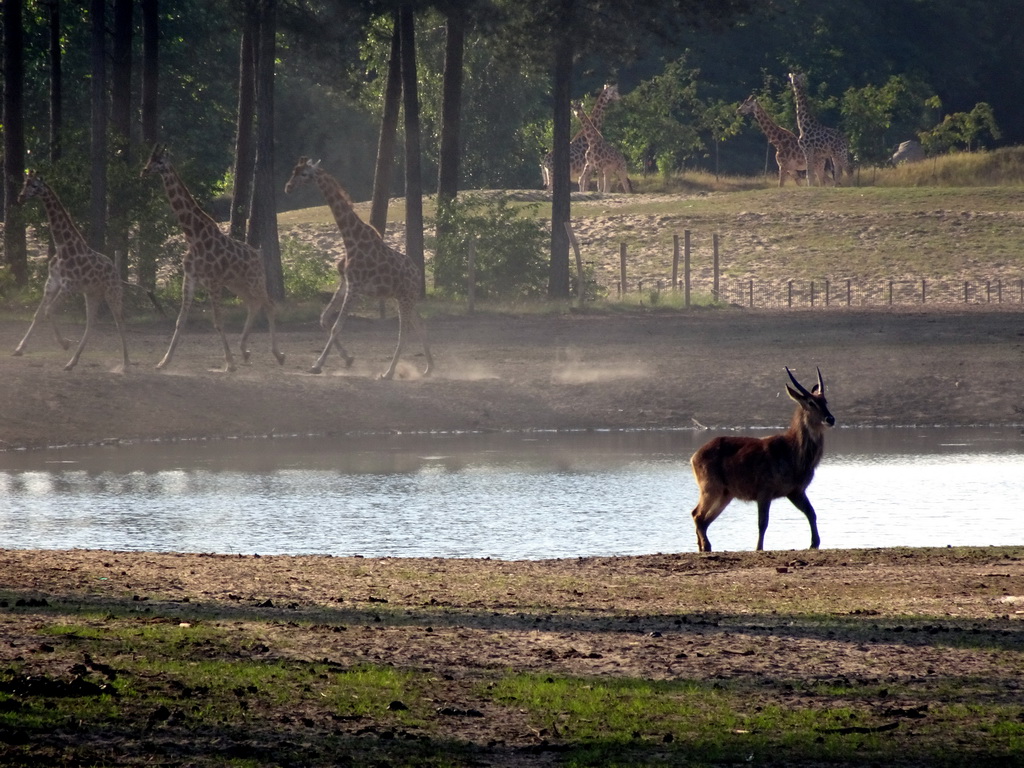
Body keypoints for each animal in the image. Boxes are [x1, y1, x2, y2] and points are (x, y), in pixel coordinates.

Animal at [14, 171, 130, 372]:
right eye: (24, 183)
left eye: (35, 186)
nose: (21, 197)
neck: (62, 247)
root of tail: (116, 272)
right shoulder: (51, 283)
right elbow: (39, 314)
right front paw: (20, 348)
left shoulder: (69, 286)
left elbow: (49, 311)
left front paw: (65, 343)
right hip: (92, 294)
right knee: (91, 323)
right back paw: (72, 362)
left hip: (112, 293)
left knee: (120, 321)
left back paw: (125, 364)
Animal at [138, 145, 284, 374]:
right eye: (149, 158)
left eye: (160, 161)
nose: (144, 170)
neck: (193, 235)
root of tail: (258, 256)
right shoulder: (190, 278)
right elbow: (180, 321)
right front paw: (163, 362)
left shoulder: (213, 282)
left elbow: (218, 321)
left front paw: (230, 363)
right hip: (237, 284)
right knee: (254, 304)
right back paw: (245, 351)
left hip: (254, 281)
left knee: (268, 305)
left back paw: (278, 355)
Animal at [282, 156, 434, 382]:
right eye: (294, 171)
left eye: (305, 174)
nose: (288, 187)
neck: (350, 239)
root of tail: (418, 274)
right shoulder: (346, 283)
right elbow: (324, 319)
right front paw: (347, 359)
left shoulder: (355, 287)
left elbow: (337, 326)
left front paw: (317, 365)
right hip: (402, 297)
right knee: (421, 325)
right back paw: (428, 369)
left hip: (405, 298)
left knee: (404, 334)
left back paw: (388, 373)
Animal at [688, 368, 831, 552]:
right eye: (811, 402)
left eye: (825, 401)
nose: (830, 419)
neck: (795, 455)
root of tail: (694, 456)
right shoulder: (765, 490)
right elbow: (763, 522)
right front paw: (758, 547)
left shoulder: (795, 491)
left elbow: (812, 513)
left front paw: (815, 543)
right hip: (710, 487)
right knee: (697, 515)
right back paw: (706, 546)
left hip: (725, 493)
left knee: (703, 519)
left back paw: (702, 547)